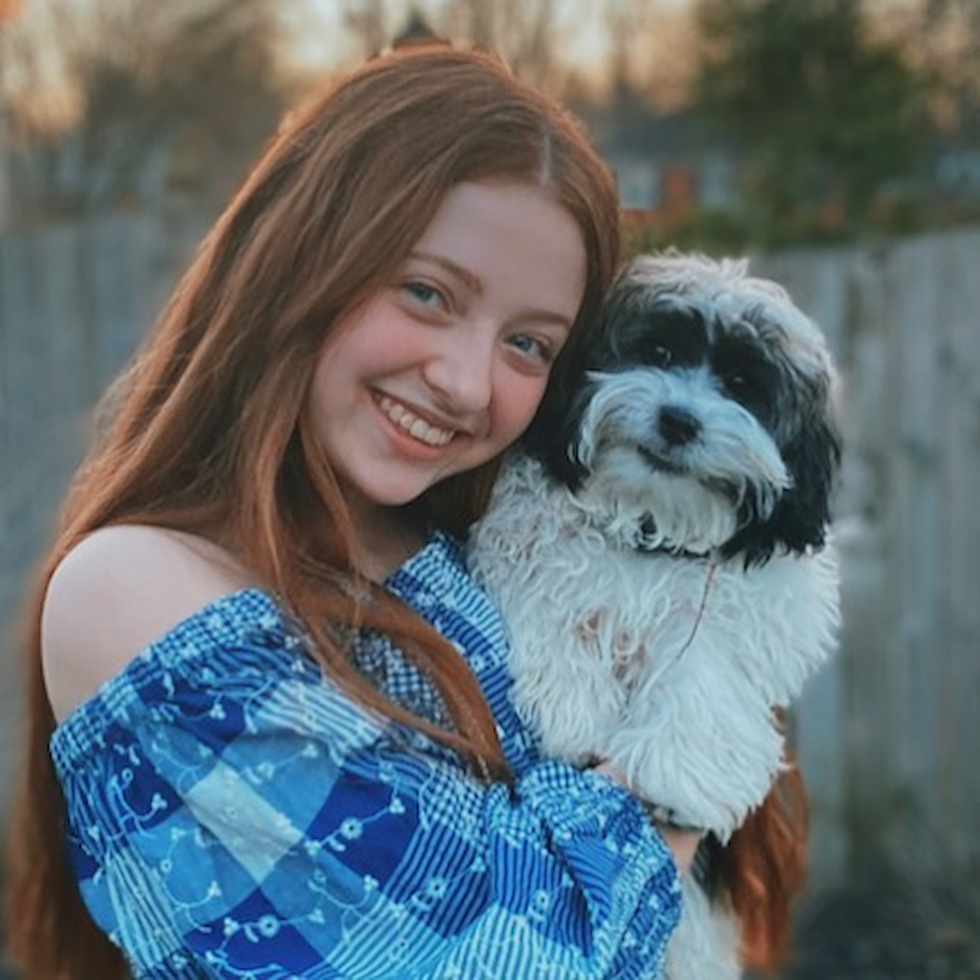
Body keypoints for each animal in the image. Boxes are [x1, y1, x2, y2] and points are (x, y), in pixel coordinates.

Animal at [468, 255, 844, 980]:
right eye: (660, 352)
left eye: (742, 384)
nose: (678, 420)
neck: (653, 522)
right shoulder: (530, 539)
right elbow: (551, 589)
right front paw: (569, 702)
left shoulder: (748, 618)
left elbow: (704, 671)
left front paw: (673, 773)